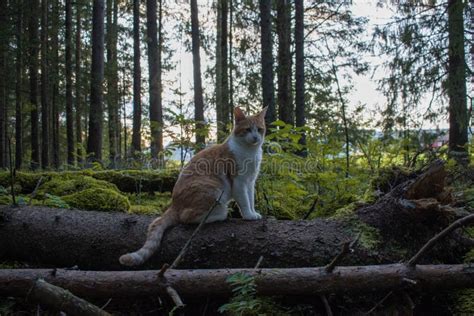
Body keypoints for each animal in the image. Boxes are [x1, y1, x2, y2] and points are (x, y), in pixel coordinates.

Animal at [118, 107, 266, 266]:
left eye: (259, 129)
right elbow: (244, 201)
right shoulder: (239, 182)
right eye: (247, 129)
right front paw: (248, 215)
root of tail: (174, 204)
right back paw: (219, 214)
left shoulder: (250, 182)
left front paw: (253, 212)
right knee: (188, 217)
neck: (250, 152)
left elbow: (250, 199)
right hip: (213, 189)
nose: (255, 137)